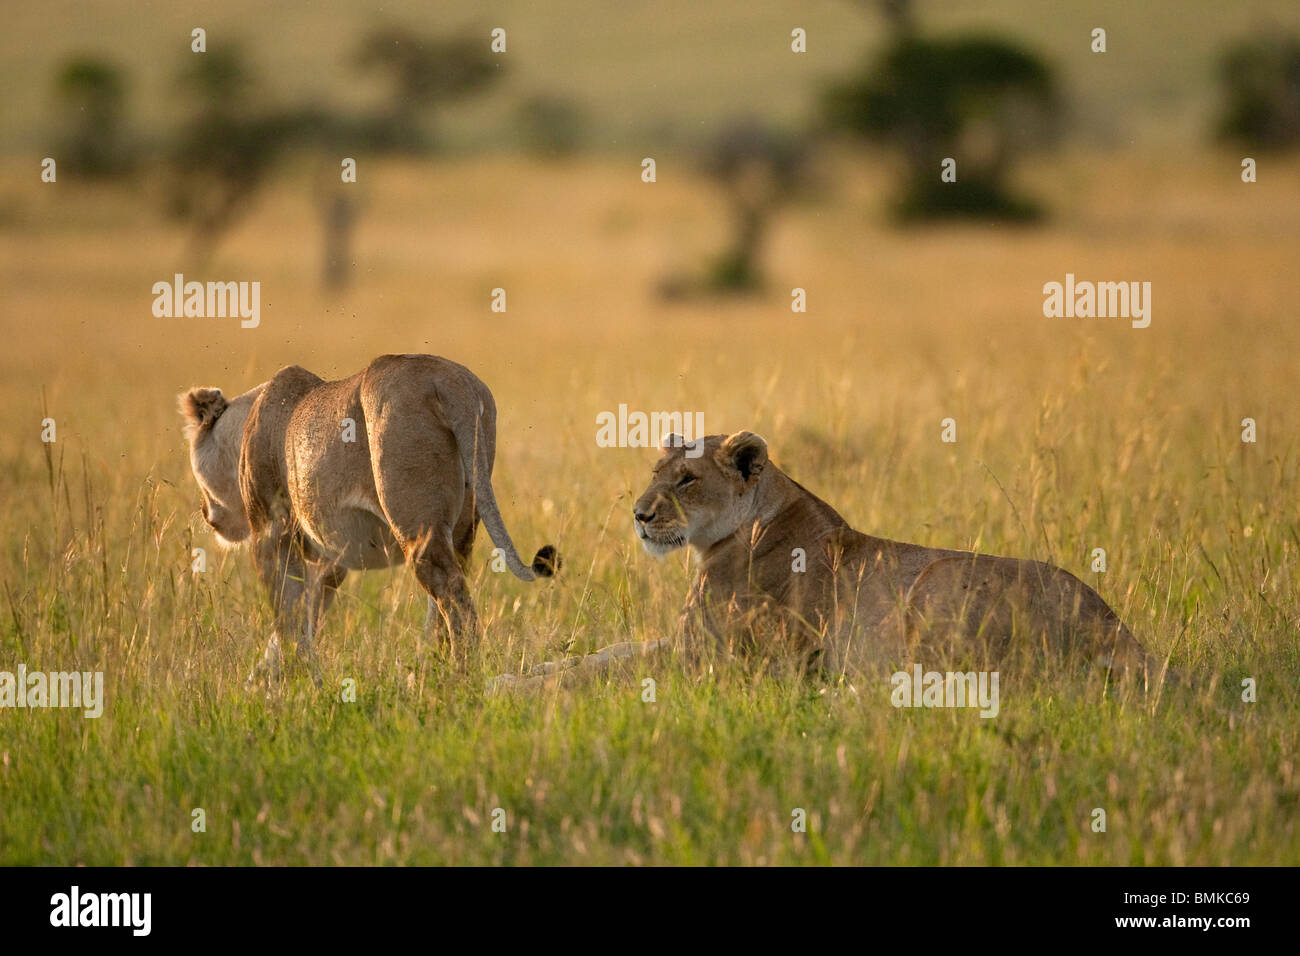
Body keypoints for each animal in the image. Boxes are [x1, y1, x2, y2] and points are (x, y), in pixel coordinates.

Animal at [179, 353, 557, 685]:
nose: (203, 510)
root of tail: (449, 380)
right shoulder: (329, 560)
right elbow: (305, 617)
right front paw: (271, 677)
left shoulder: (271, 534)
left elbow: (287, 617)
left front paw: (296, 684)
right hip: (464, 523)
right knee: (447, 595)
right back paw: (430, 671)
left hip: (417, 526)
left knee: (451, 594)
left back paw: (457, 674)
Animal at [489, 430, 1156, 693]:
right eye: (656, 472)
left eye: (686, 481)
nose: (640, 515)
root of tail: (1118, 629)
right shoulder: (685, 643)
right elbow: (608, 652)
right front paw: (519, 671)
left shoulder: (709, 658)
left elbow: (602, 672)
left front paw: (507, 688)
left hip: (935, 585)